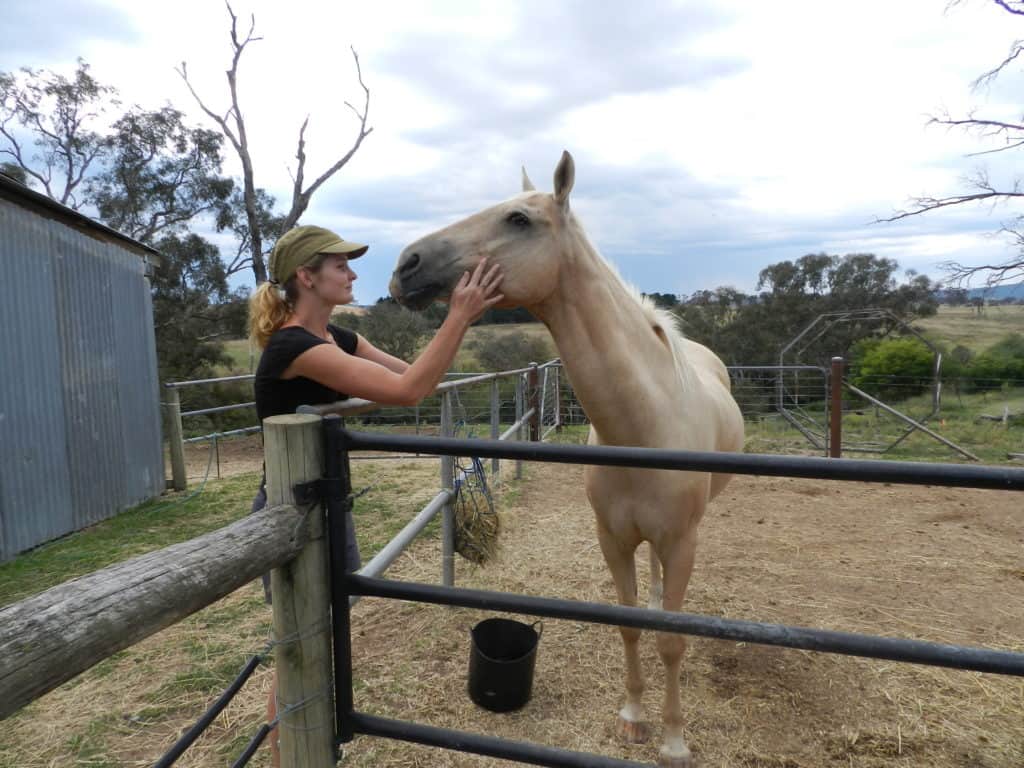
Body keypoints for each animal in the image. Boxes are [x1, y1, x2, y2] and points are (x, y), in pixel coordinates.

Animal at [389, 151, 744, 767]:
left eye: (518, 219)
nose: (407, 264)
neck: (643, 428)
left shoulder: (682, 542)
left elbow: (672, 641)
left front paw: (674, 740)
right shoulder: (612, 539)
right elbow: (629, 626)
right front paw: (633, 718)